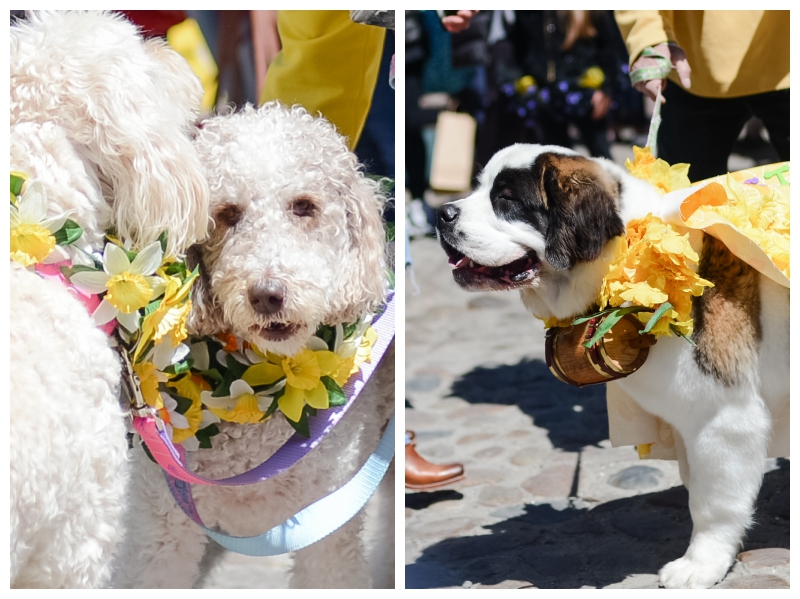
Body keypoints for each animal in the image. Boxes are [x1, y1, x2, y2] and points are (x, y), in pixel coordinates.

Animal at [438, 145, 788, 592]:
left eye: (507, 200)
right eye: (480, 187)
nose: (442, 213)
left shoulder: (724, 420)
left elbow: (712, 502)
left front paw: (701, 563)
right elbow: (694, 481)